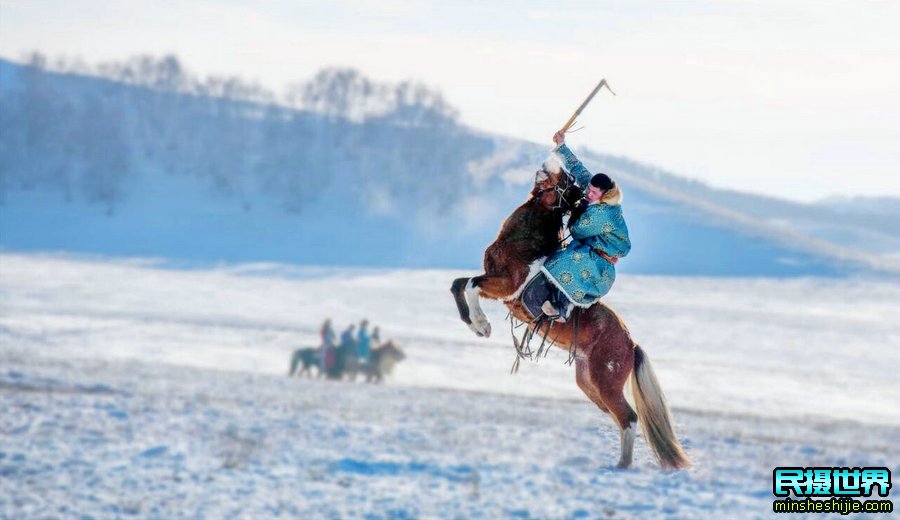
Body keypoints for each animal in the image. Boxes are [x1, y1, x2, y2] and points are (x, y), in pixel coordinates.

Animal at [448, 162, 688, 472]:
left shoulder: (506, 286)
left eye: (563, 179)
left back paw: (622, 466)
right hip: (589, 383)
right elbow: (458, 284)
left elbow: (471, 285)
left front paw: (483, 326)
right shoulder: (496, 285)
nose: (544, 167)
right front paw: (474, 326)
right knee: (621, 417)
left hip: (605, 382)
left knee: (629, 418)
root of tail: (631, 345)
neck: (521, 245)